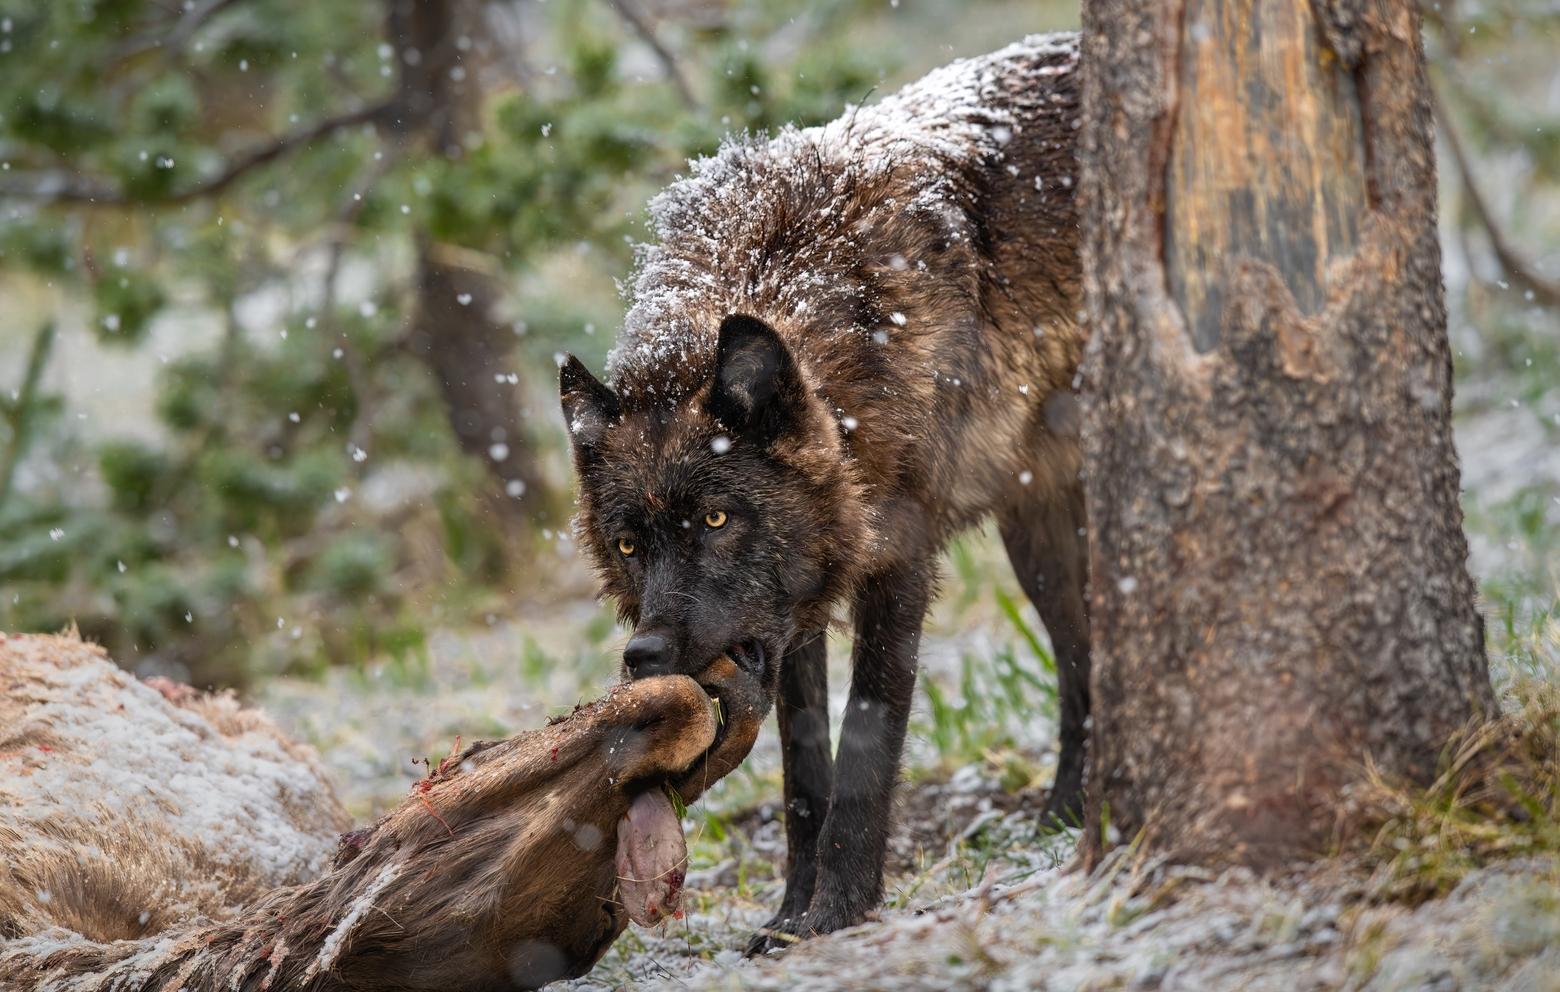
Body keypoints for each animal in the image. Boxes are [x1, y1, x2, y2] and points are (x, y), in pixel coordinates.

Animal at [561, 34, 1085, 954]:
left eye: (717, 518)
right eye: (628, 545)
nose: (645, 656)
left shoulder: (899, 568)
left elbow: (866, 748)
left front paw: (839, 912)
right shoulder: (789, 622)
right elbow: (804, 772)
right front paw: (787, 915)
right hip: (1037, 551)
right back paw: (1066, 815)